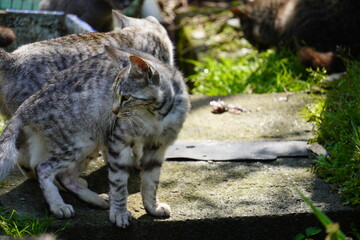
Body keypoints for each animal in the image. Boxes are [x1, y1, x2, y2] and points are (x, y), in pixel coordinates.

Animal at [0, 46, 191, 228]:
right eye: (114, 94)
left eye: (125, 97)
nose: (114, 111)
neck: (157, 116)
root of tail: (27, 105)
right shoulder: (118, 142)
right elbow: (119, 183)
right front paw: (119, 213)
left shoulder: (157, 146)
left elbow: (151, 181)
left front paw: (152, 207)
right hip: (79, 142)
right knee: (43, 168)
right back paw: (58, 206)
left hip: (91, 144)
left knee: (65, 176)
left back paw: (96, 199)